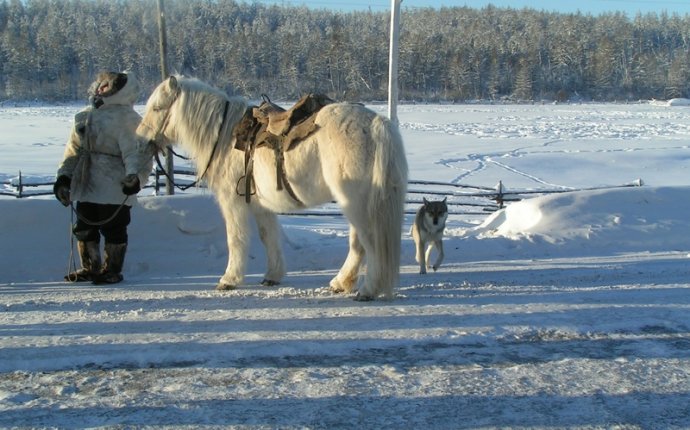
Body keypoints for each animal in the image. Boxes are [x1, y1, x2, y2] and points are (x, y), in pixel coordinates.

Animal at [136, 76, 408, 300]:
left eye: (158, 108)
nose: (140, 140)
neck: (224, 137)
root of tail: (376, 123)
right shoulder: (260, 204)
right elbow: (268, 237)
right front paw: (272, 276)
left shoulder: (232, 202)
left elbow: (236, 238)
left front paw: (229, 279)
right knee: (358, 244)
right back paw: (341, 283)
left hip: (356, 203)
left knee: (369, 242)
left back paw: (368, 289)